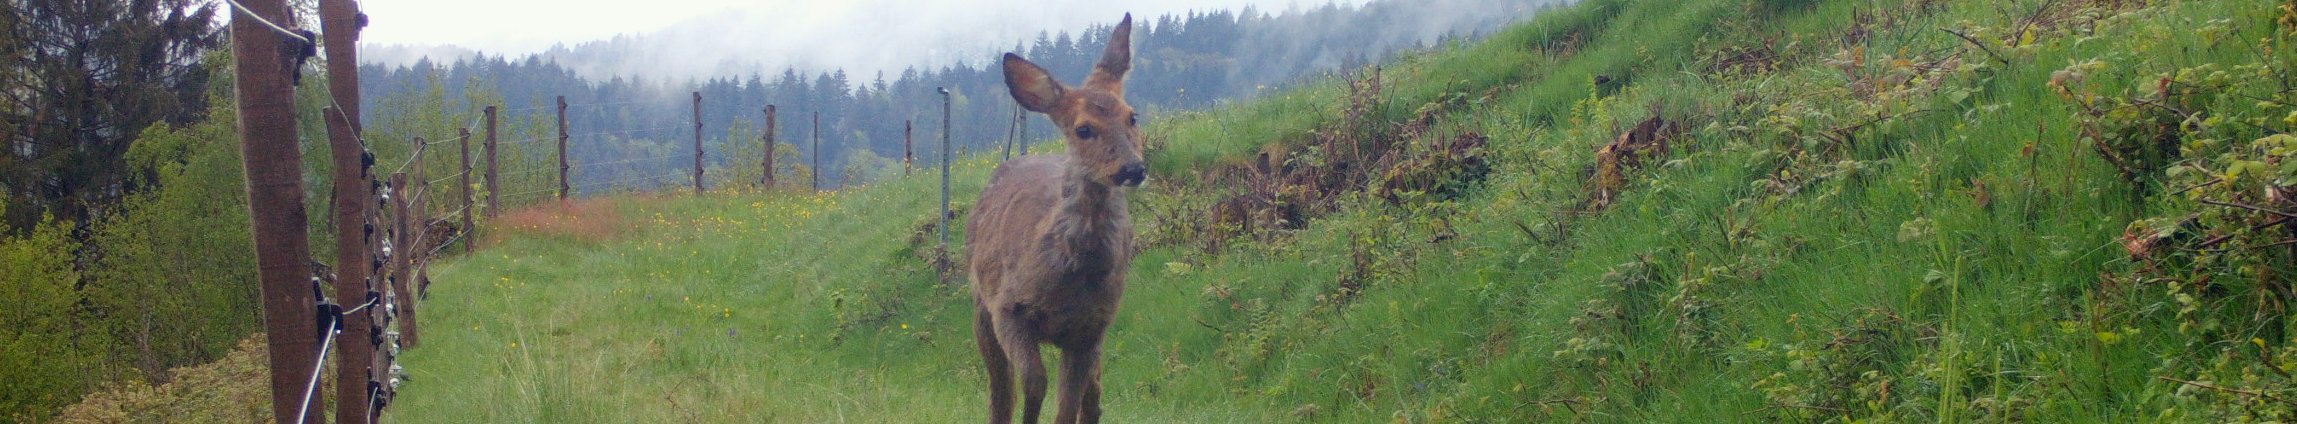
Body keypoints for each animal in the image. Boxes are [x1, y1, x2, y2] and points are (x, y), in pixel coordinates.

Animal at [965, 14, 1144, 424]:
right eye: (1083, 129)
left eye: (1132, 116)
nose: (1133, 168)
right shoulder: (1007, 309)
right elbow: (1033, 382)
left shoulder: (1092, 328)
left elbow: (1068, 404)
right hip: (980, 305)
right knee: (1000, 391)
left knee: (1094, 394)